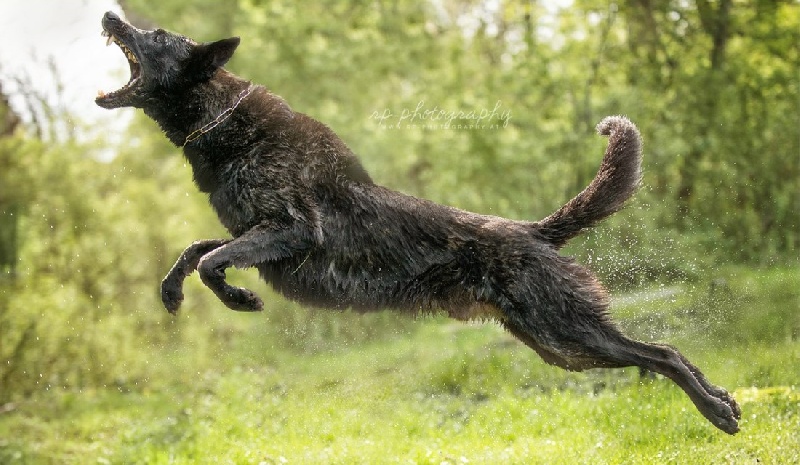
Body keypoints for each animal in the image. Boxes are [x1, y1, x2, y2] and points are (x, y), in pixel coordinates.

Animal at [95, 11, 740, 434]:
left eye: (156, 35)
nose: (108, 13)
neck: (223, 125)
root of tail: (533, 231)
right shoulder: (252, 235)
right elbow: (194, 250)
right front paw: (173, 293)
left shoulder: (293, 231)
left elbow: (210, 259)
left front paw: (239, 300)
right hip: (561, 347)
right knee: (662, 352)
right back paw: (725, 402)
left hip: (567, 333)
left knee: (662, 354)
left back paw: (717, 412)